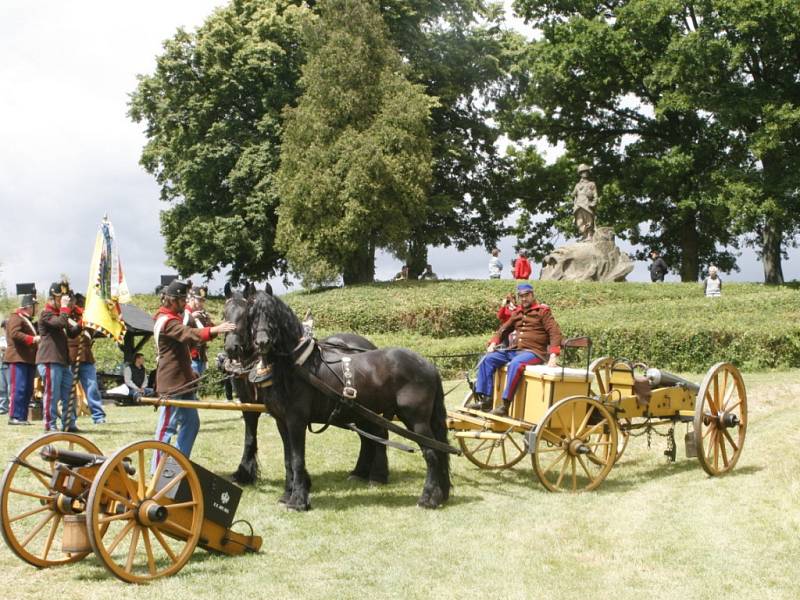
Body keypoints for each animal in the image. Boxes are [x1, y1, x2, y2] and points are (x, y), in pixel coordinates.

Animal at [222, 290, 390, 488]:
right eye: (224, 314)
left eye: (244, 315)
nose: (231, 348)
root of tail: (370, 346)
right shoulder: (248, 404)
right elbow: (250, 438)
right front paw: (244, 473)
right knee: (367, 437)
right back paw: (359, 472)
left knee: (378, 433)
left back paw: (377, 476)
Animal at [244, 292, 450, 508]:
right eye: (252, 315)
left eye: (272, 316)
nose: (262, 342)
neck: (295, 365)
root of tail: (428, 364)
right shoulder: (282, 421)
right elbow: (288, 459)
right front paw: (287, 495)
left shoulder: (296, 421)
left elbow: (298, 459)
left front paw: (298, 501)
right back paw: (439, 495)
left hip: (416, 420)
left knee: (432, 454)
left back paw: (427, 499)